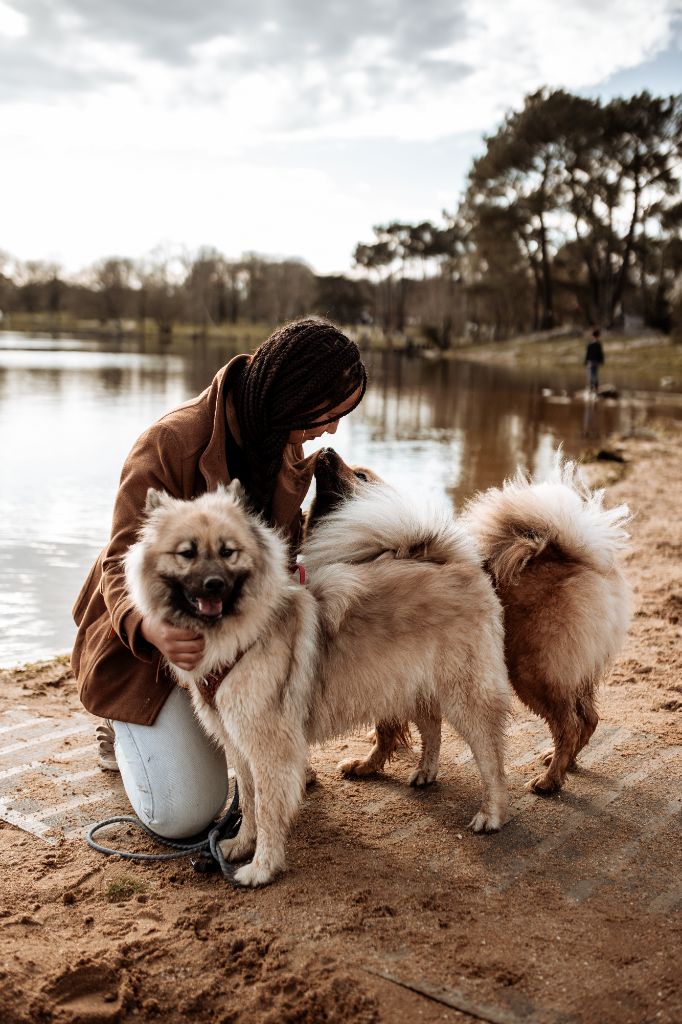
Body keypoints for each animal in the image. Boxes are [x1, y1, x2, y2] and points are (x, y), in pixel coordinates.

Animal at [124, 483, 509, 884]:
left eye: (228, 552)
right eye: (187, 553)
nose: (214, 585)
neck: (241, 637)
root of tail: (452, 562)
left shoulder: (268, 747)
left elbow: (265, 808)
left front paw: (262, 867)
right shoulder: (238, 743)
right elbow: (247, 801)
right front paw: (240, 846)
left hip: (463, 694)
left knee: (491, 757)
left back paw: (491, 814)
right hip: (409, 684)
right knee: (432, 725)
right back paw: (425, 771)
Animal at [305, 448, 630, 790]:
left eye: (361, 475)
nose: (327, 450)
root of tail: (581, 558)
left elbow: (386, 728)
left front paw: (367, 766)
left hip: (534, 672)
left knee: (569, 724)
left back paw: (549, 780)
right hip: (570, 673)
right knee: (588, 718)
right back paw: (564, 763)